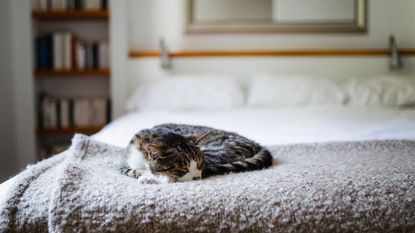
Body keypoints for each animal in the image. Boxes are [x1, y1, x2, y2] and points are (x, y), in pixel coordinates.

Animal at [120, 124, 274, 184]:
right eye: (183, 169)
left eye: (200, 164)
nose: (196, 177)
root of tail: (257, 144)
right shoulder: (125, 163)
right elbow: (132, 171)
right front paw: (146, 175)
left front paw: (154, 178)